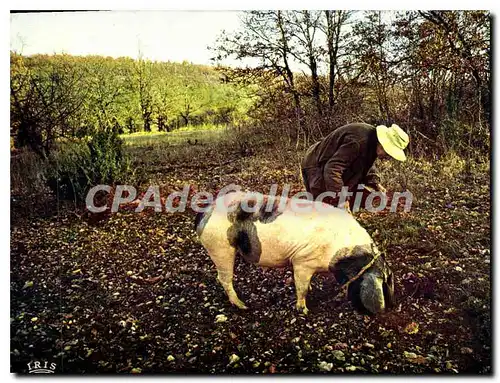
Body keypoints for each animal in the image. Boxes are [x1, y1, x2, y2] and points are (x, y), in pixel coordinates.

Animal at [195, 192, 394, 316]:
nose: (386, 310)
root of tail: (205, 213)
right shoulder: (302, 261)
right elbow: (301, 287)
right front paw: (304, 310)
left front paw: (313, 289)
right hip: (220, 247)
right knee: (224, 278)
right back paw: (242, 306)